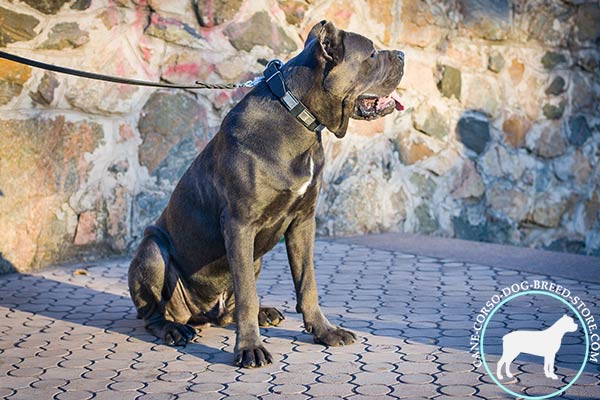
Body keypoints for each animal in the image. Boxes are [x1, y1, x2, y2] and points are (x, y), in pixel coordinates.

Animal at [129, 20, 406, 368]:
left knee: (229, 309)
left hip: (255, 258)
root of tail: (202, 314)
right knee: (154, 313)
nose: (402, 54)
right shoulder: (239, 224)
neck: (297, 118)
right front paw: (249, 347)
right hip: (153, 251)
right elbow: (247, 293)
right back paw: (174, 329)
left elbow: (307, 283)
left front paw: (324, 331)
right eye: (371, 54)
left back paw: (265, 313)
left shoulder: (303, 221)